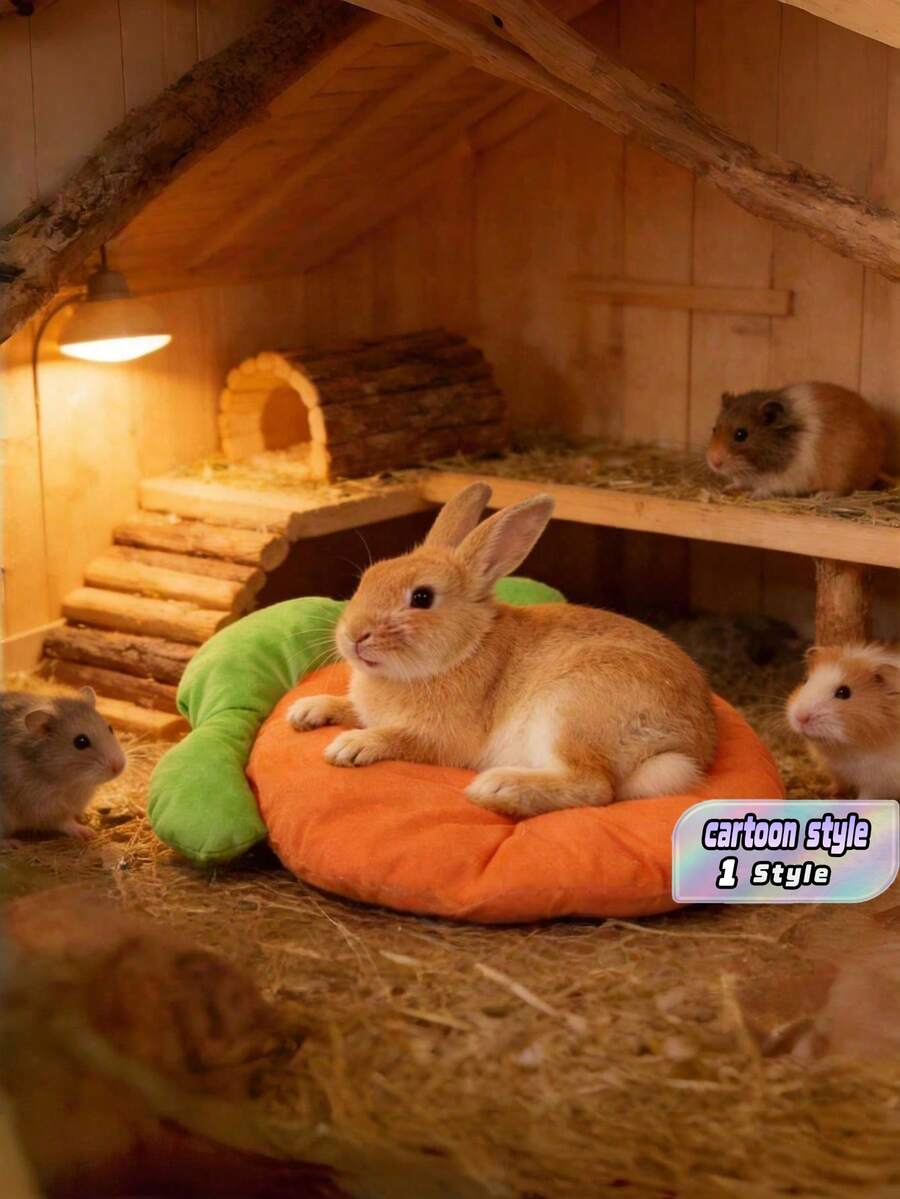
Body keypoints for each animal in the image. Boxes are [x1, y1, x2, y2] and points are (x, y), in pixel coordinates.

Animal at [287, 483, 719, 818]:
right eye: (369, 577)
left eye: (422, 597)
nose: (353, 635)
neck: (464, 649)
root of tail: (690, 744)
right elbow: (350, 708)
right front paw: (306, 711)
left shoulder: (442, 738)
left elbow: (398, 737)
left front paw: (350, 746)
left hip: (570, 711)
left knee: (595, 787)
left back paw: (497, 789)